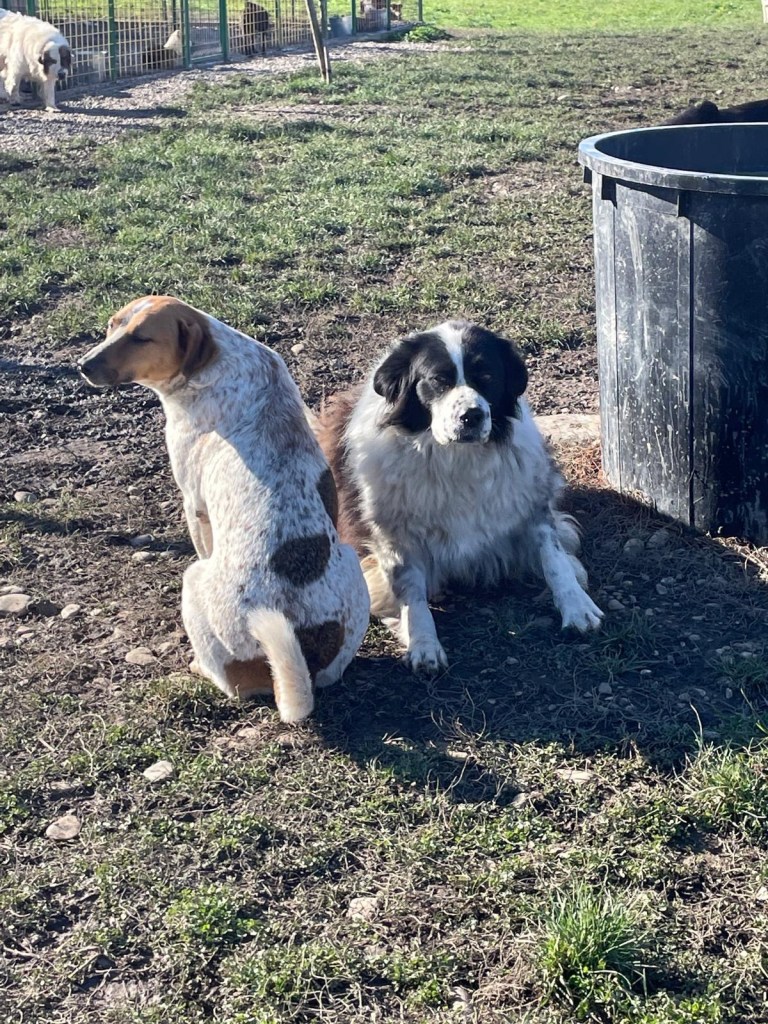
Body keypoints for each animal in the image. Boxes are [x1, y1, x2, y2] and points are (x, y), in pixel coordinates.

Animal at [78, 296, 370, 724]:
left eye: (142, 338)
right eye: (111, 326)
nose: (82, 365)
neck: (218, 360)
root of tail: (302, 656)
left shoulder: (194, 506)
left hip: (194, 582)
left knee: (232, 685)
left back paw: (201, 668)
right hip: (350, 564)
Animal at [314, 321, 603, 677]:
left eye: (487, 376)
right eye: (439, 380)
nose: (472, 415)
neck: (456, 458)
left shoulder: (531, 506)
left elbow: (555, 559)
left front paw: (577, 607)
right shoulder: (395, 538)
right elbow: (412, 592)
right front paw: (423, 642)